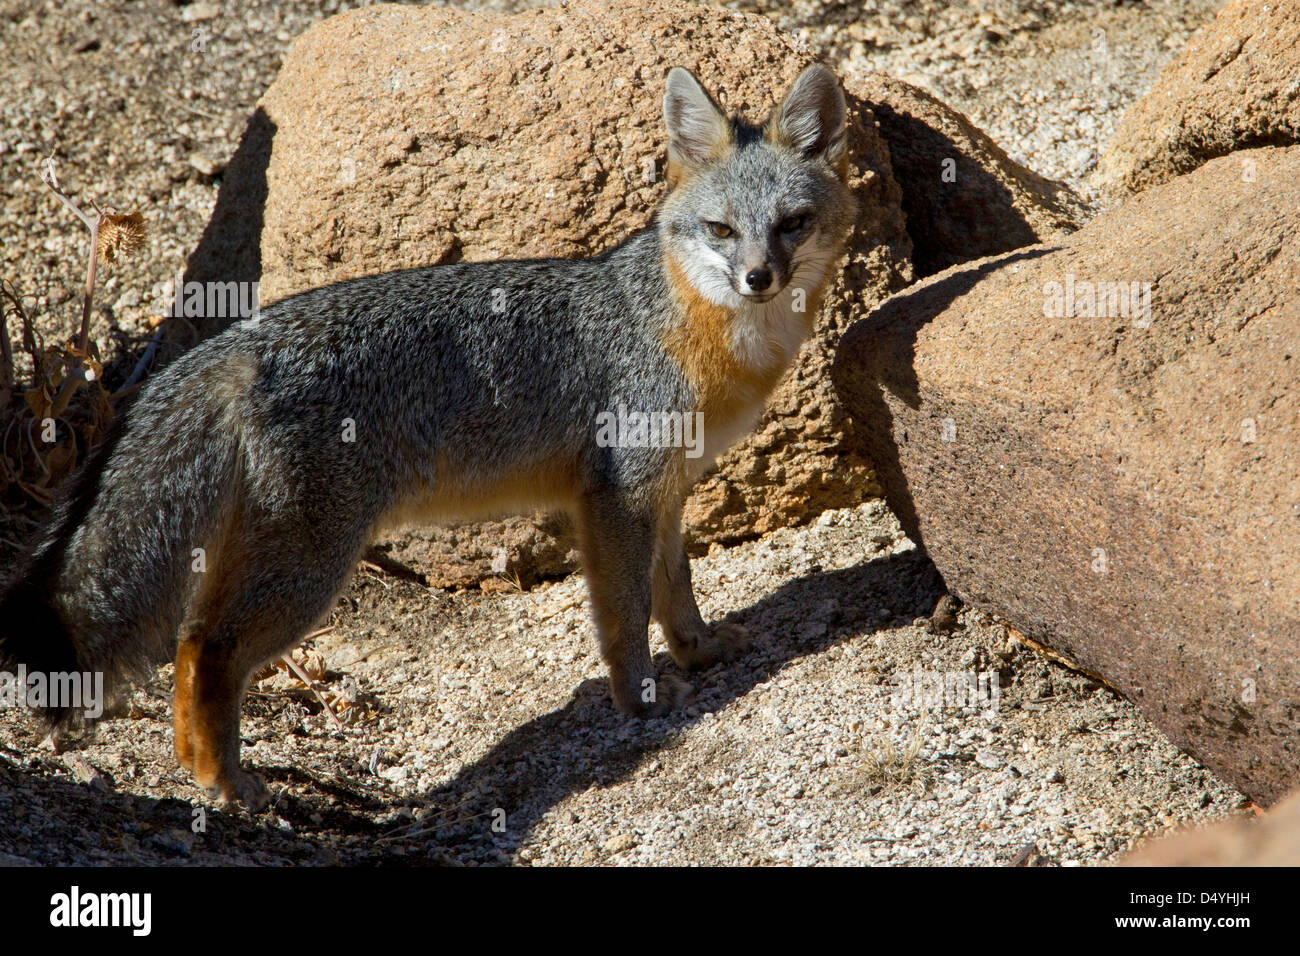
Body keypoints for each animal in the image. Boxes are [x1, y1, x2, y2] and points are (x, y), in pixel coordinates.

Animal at [0, 63, 857, 811]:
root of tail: (234, 343)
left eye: (791, 225)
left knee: (193, 640)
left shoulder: (669, 492)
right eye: (721, 230)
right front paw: (638, 697)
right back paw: (227, 785)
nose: (759, 278)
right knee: (202, 648)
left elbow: (676, 591)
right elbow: (624, 614)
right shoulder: (618, 497)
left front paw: (699, 650)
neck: (685, 325)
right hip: (311, 567)